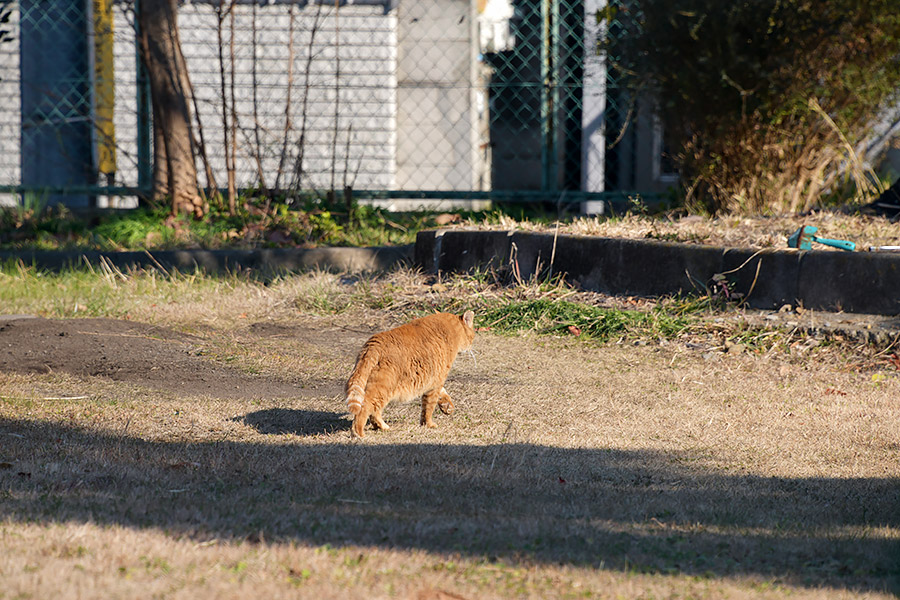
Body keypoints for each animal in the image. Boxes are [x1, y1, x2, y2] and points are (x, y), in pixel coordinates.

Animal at [342, 310, 478, 436]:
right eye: (472, 336)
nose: (471, 346)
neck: (451, 329)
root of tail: (373, 345)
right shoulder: (436, 382)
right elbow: (429, 407)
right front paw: (429, 424)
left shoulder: (433, 381)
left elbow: (441, 395)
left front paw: (447, 406)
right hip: (382, 389)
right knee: (365, 408)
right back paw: (359, 433)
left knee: (374, 411)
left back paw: (382, 427)